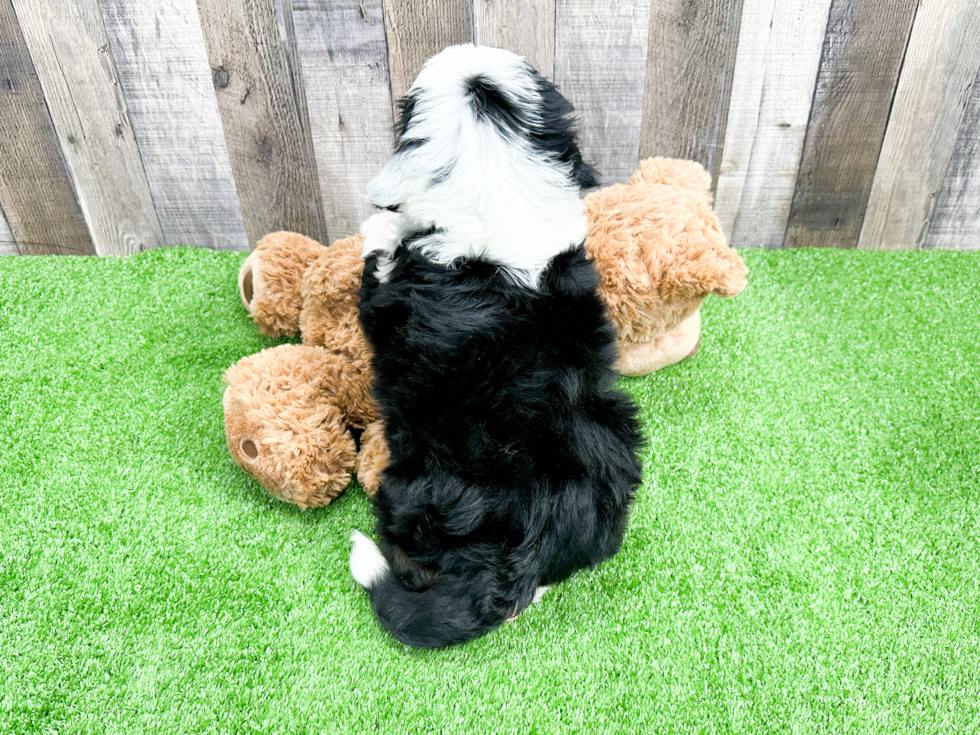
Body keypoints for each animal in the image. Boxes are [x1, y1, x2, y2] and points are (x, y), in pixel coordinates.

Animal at [346, 44, 644, 648]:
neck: (497, 180)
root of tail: (525, 550)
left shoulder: (384, 304)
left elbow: (378, 267)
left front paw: (379, 232)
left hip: (412, 491)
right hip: (618, 437)